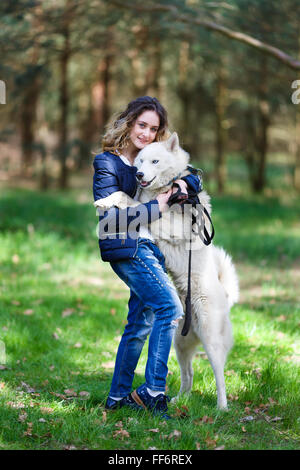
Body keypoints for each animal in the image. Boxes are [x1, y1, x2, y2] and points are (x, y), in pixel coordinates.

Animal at [95, 131, 239, 408]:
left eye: (155, 161)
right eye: (139, 161)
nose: (139, 175)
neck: (170, 188)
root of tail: (227, 298)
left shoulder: (166, 221)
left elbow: (137, 205)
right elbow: (127, 198)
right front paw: (105, 201)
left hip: (211, 341)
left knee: (220, 375)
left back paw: (222, 407)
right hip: (179, 343)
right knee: (189, 374)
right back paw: (176, 400)